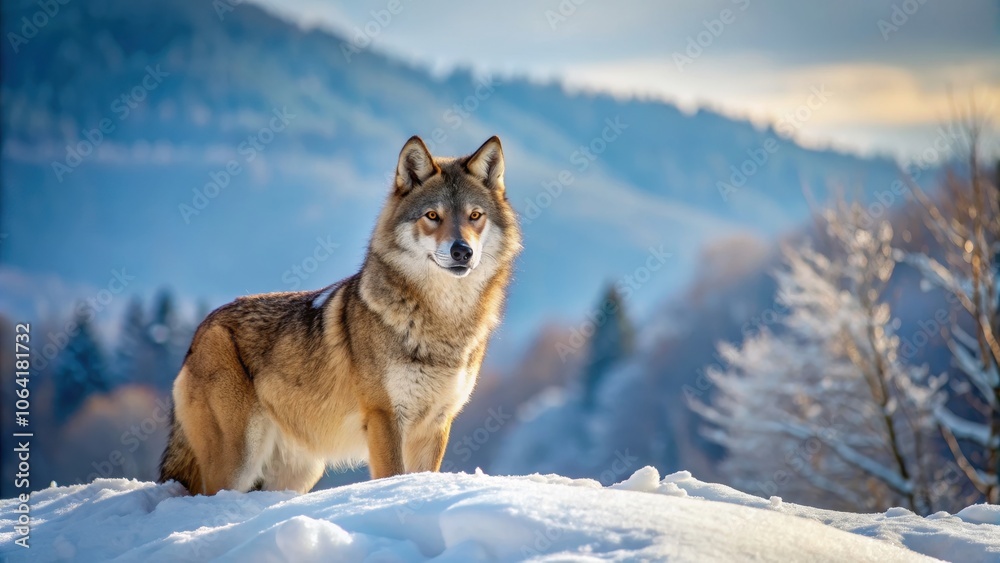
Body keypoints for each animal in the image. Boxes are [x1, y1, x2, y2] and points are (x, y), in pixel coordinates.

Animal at [159, 136, 521, 495]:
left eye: (475, 215)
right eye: (433, 215)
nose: (462, 251)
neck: (443, 322)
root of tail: (200, 330)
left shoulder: (436, 424)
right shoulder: (384, 417)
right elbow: (392, 475)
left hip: (296, 474)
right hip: (237, 466)